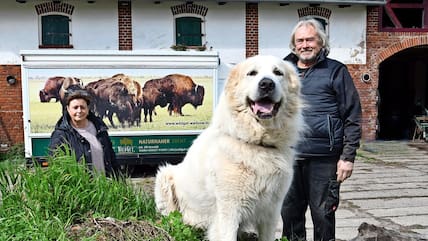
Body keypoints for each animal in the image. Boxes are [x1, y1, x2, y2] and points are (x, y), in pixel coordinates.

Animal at [154, 55, 304, 241]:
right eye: (252, 73)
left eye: (278, 73)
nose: (267, 84)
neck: (257, 144)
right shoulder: (229, 210)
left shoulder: (271, 211)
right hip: (164, 176)